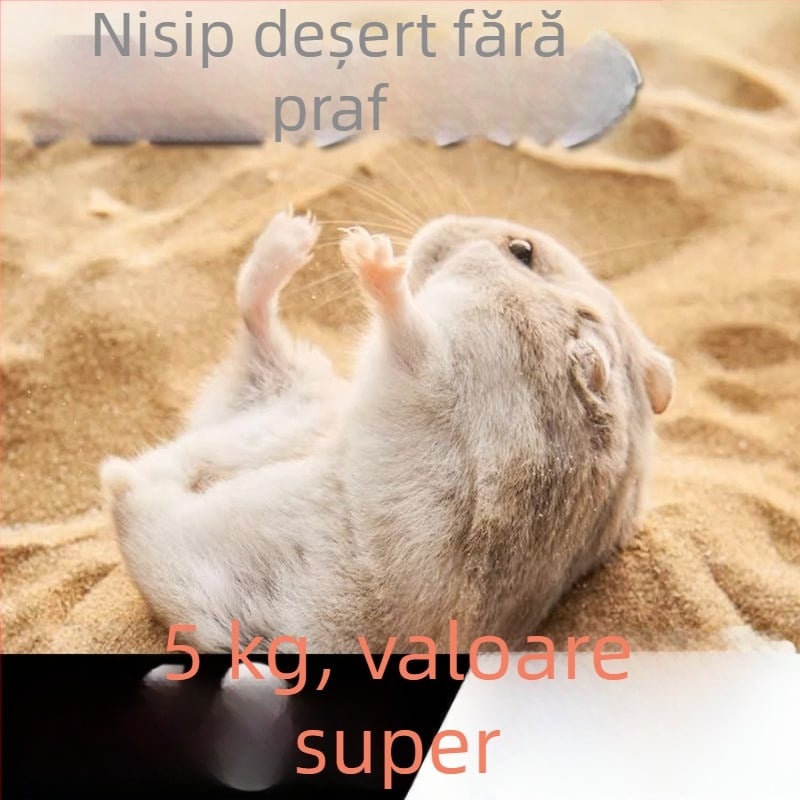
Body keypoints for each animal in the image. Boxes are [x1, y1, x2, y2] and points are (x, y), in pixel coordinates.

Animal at [100, 210, 674, 653]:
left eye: (521, 250)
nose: (438, 225)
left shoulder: (430, 379)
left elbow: (408, 331)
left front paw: (374, 255)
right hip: (295, 388)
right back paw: (294, 232)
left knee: (137, 488)